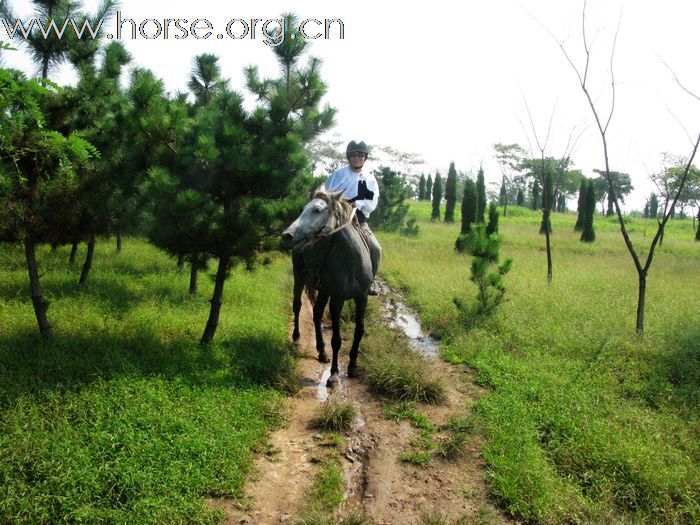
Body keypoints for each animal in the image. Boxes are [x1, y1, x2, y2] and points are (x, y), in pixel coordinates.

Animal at [280, 188, 374, 384]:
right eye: (303, 208)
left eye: (317, 210)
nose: (287, 235)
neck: (351, 262)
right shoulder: (337, 300)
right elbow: (336, 340)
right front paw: (334, 374)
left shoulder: (362, 297)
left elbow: (359, 331)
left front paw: (353, 366)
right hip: (299, 277)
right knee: (297, 305)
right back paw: (296, 340)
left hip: (323, 290)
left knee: (316, 313)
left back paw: (322, 352)